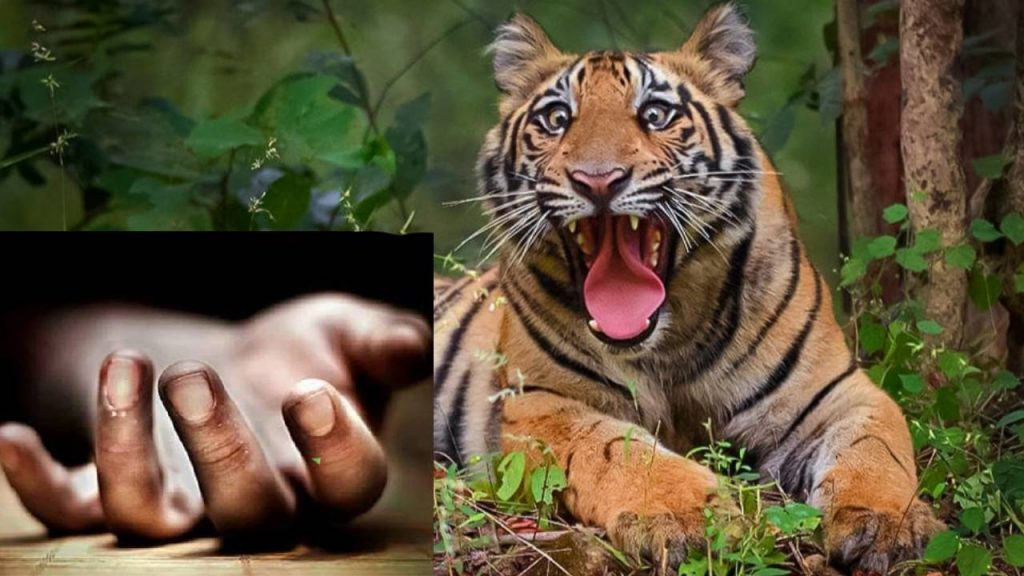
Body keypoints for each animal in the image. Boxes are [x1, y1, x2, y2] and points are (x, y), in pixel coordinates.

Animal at [433, 3, 943, 573]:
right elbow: (617, 449)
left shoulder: (837, 392)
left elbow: (875, 449)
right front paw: (689, 518)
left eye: (655, 114)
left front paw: (886, 523)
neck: (668, 342)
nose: (597, 179)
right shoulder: (538, 402)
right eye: (557, 119)